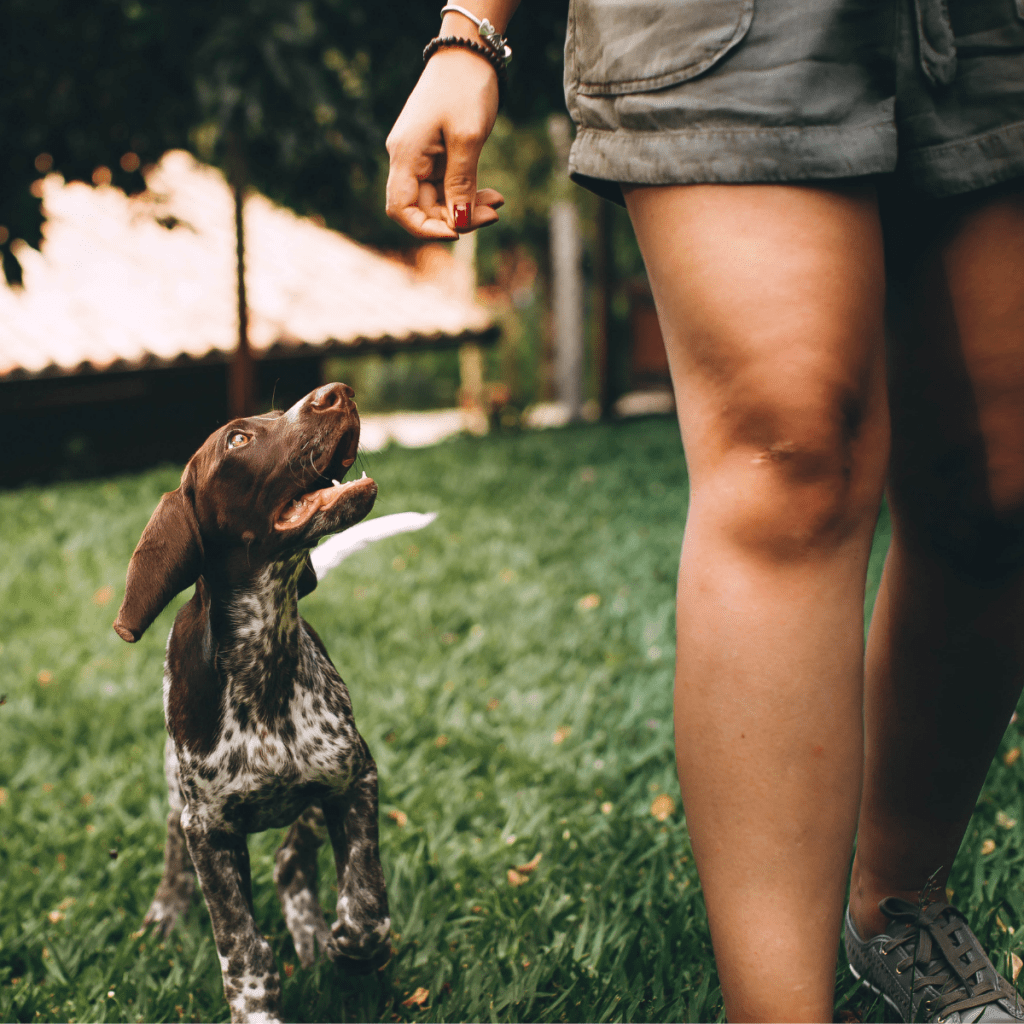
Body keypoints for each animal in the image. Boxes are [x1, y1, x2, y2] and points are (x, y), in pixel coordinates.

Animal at [116, 385, 391, 1024]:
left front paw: (351, 947)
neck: (265, 659)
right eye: (237, 439)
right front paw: (256, 1004)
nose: (336, 393)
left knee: (291, 863)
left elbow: (365, 901)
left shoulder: (353, 778)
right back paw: (168, 908)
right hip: (178, 793)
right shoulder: (209, 829)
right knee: (176, 849)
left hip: (311, 803)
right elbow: (242, 947)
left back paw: (313, 934)